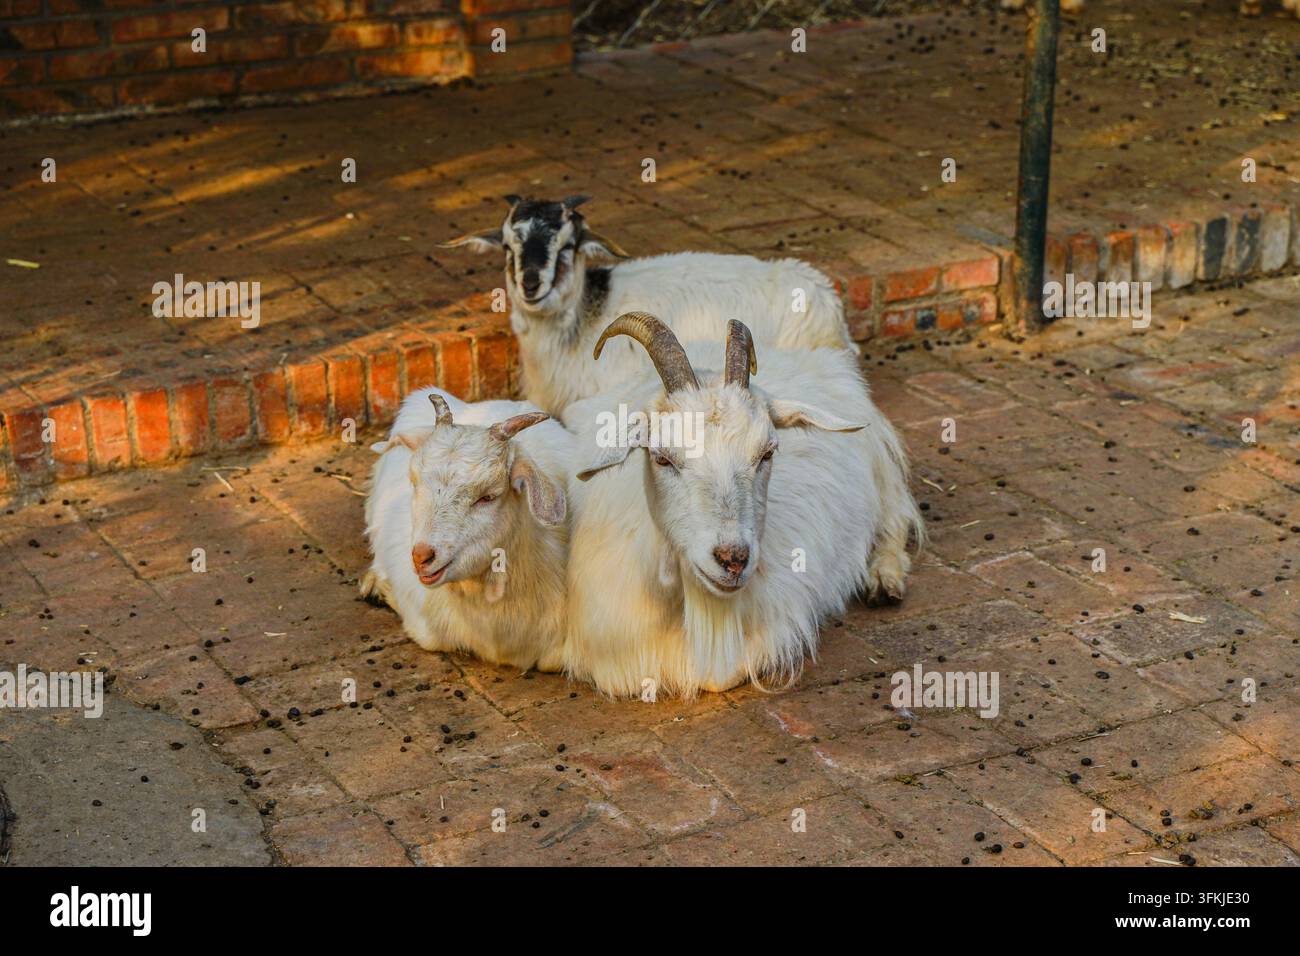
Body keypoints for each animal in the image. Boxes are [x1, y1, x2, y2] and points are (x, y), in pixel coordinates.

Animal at [562, 313, 924, 698]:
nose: (733, 559)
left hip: (880, 469)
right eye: (661, 458)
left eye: (767, 453)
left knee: (895, 519)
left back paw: (884, 580)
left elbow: (721, 674)